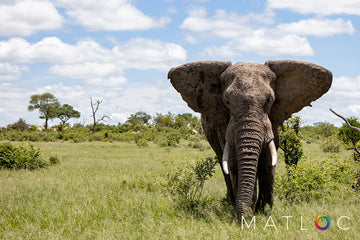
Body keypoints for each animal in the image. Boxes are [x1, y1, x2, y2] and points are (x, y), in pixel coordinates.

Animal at [168, 60, 332, 219]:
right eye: (227, 101)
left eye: (270, 100)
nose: (242, 218)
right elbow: (234, 162)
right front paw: (249, 211)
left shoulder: (273, 123)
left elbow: (268, 162)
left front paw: (264, 211)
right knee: (223, 163)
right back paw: (231, 203)